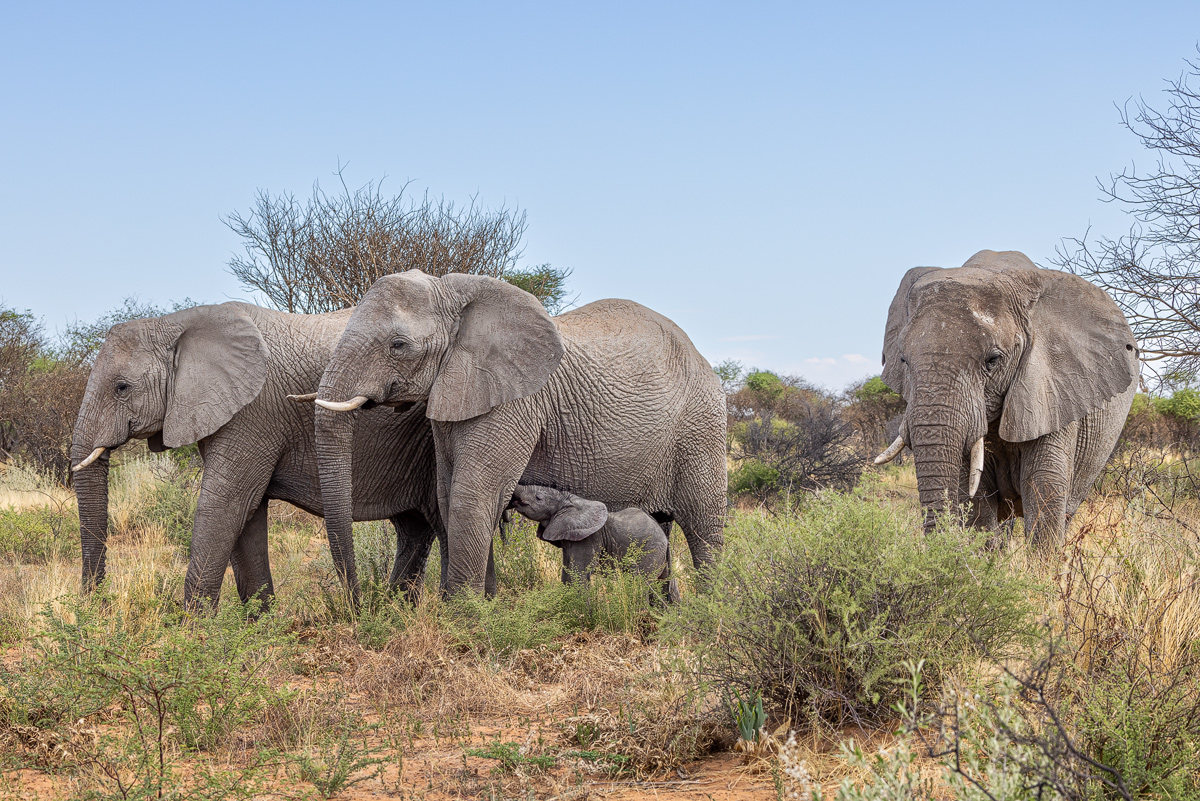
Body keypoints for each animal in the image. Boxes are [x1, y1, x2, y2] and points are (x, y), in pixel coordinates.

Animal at [69, 301, 447, 609]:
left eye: (122, 388)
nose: (96, 606)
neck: (177, 322)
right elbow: (248, 513)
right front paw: (260, 628)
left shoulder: (253, 411)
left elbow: (226, 504)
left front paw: (192, 633)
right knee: (414, 527)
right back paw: (397, 609)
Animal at [507, 484, 680, 602]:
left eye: (538, 498)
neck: (568, 500)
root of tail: (666, 540)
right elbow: (566, 574)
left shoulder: (589, 538)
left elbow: (578, 573)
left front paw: (583, 616)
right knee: (664, 584)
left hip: (649, 551)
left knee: (640, 583)